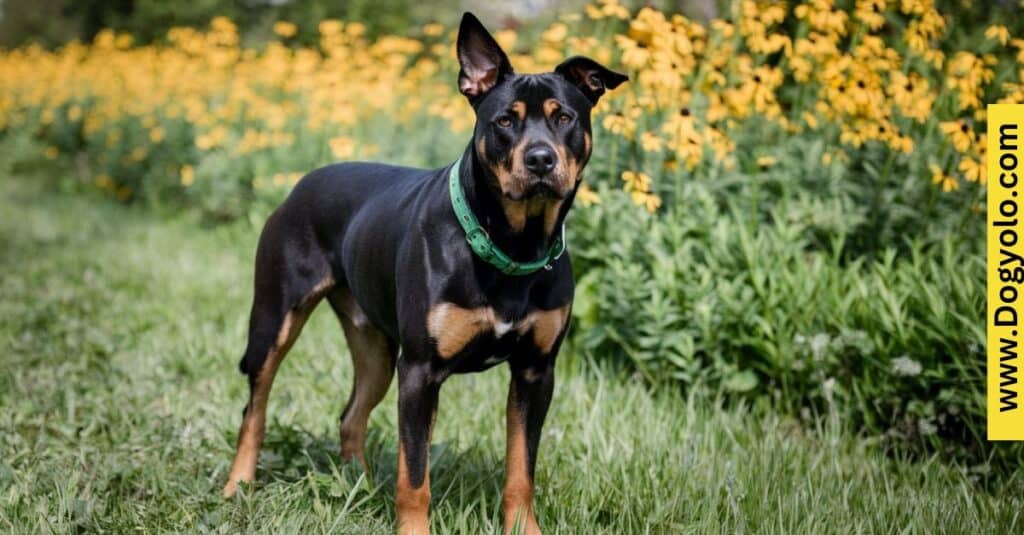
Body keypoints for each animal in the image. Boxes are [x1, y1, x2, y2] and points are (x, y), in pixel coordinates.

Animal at [222, 12, 622, 532]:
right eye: (504, 121)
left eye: (564, 117)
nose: (540, 159)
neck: (510, 242)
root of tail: (299, 185)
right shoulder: (419, 371)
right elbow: (414, 475)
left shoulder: (536, 371)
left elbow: (521, 468)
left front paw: (523, 527)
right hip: (274, 320)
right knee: (255, 407)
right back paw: (238, 485)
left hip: (374, 348)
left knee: (350, 415)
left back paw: (357, 485)